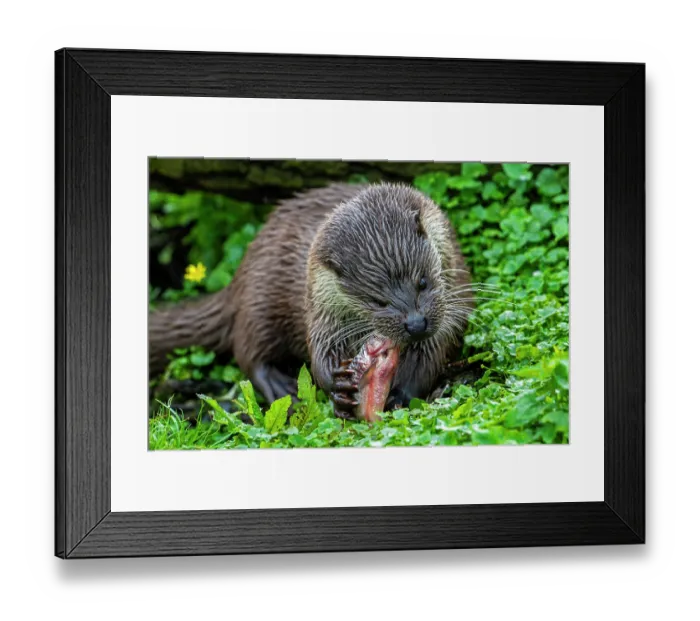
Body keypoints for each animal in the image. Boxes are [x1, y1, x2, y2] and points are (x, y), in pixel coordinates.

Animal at [149, 183, 473, 418]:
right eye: (376, 301)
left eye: (422, 281)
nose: (416, 324)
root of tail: (241, 272)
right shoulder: (320, 303)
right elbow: (320, 351)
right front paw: (338, 385)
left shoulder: (454, 294)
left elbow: (432, 353)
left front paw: (400, 393)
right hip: (259, 302)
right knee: (248, 351)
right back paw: (281, 386)